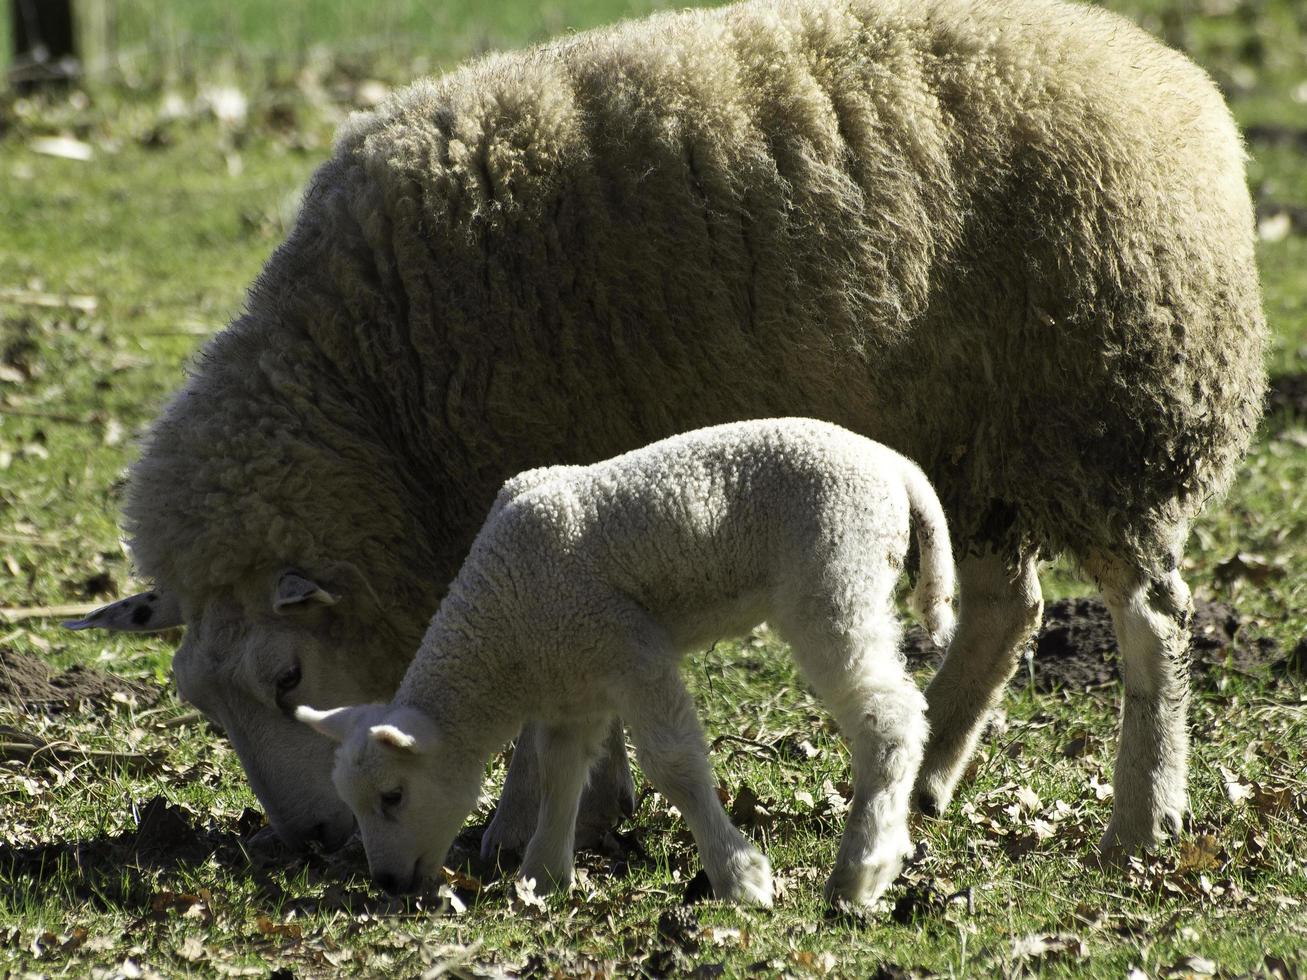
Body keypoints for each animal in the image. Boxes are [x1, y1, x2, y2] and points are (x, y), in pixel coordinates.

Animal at [74, 0, 1265, 857]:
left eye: (286, 678)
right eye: (201, 700)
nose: (312, 841)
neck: (378, 399)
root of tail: (1174, 83)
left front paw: (525, 821)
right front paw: (586, 807)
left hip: (1112, 418)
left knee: (1152, 624)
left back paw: (1141, 818)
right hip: (972, 445)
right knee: (1006, 610)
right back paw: (930, 778)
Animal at [296, 418, 956, 909]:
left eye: (392, 796)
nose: (386, 883)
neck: (500, 625)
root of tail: (896, 466)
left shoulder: (628, 644)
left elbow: (676, 764)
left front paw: (740, 877)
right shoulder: (575, 678)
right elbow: (560, 768)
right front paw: (541, 878)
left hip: (836, 572)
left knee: (891, 716)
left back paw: (861, 870)